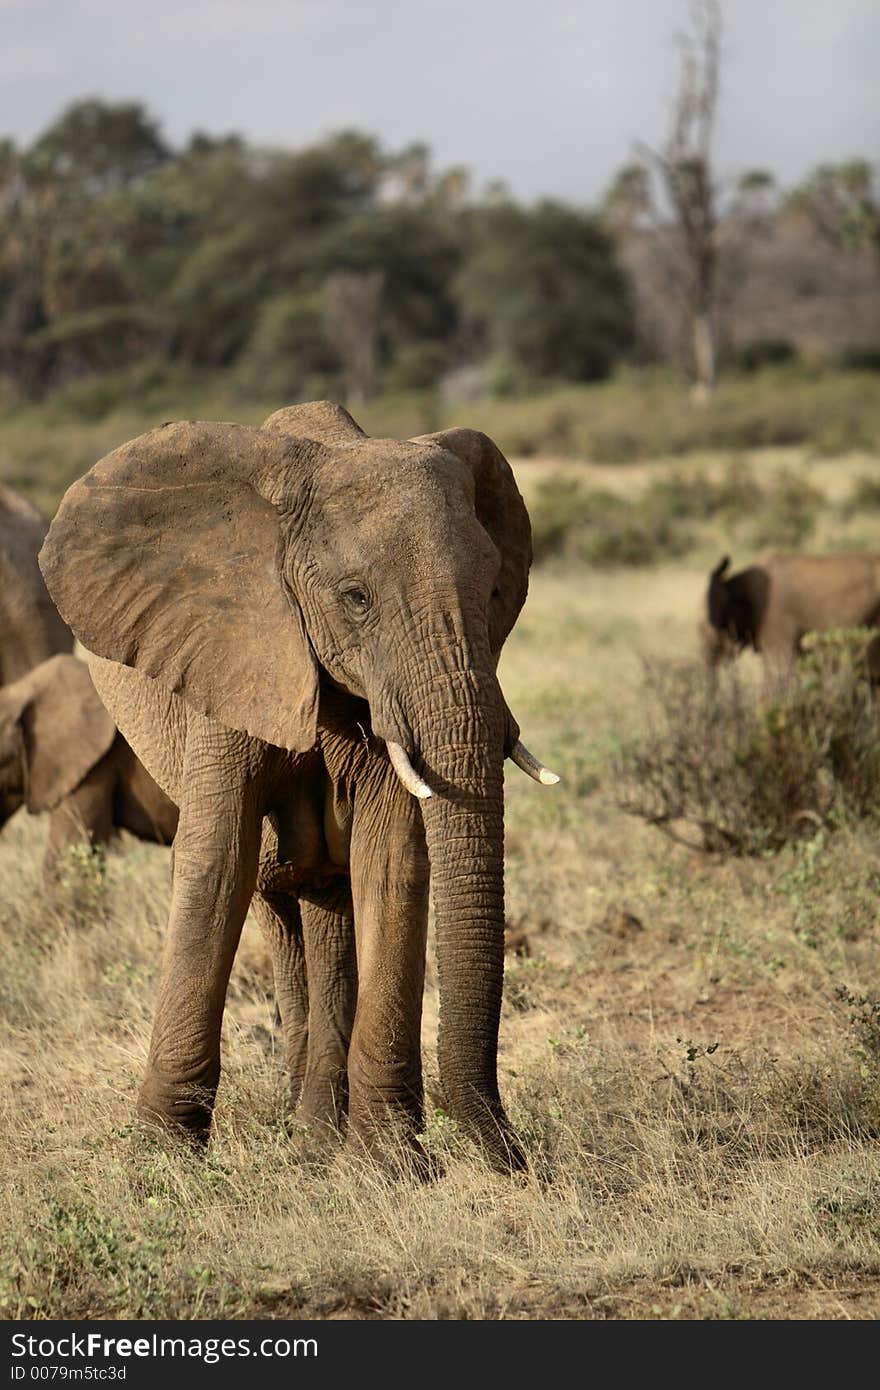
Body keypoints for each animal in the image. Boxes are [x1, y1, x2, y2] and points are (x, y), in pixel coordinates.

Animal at [41, 403, 556, 1173]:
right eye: (356, 598)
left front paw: (390, 1165)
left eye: (495, 590)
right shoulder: (228, 650)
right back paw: (302, 1132)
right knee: (274, 897)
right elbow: (215, 862)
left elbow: (390, 863)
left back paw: (316, 1138)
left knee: (327, 902)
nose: (516, 1160)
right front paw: (159, 1163)